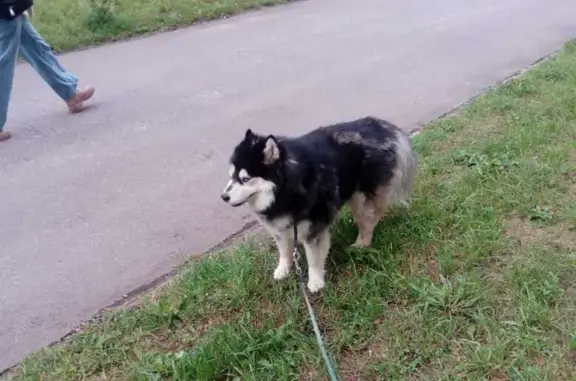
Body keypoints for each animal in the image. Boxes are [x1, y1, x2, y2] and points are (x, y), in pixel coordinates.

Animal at [218, 115, 416, 290]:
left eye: (245, 179)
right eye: (231, 176)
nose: (223, 197)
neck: (289, 189)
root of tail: (381, 124)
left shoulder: (313, 230)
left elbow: (313, 258)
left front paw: (315, 282)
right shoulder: (280, 228)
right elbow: (284, 251)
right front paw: (283, 269)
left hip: (361, 197)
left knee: (369, 220)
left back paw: (362, 243)